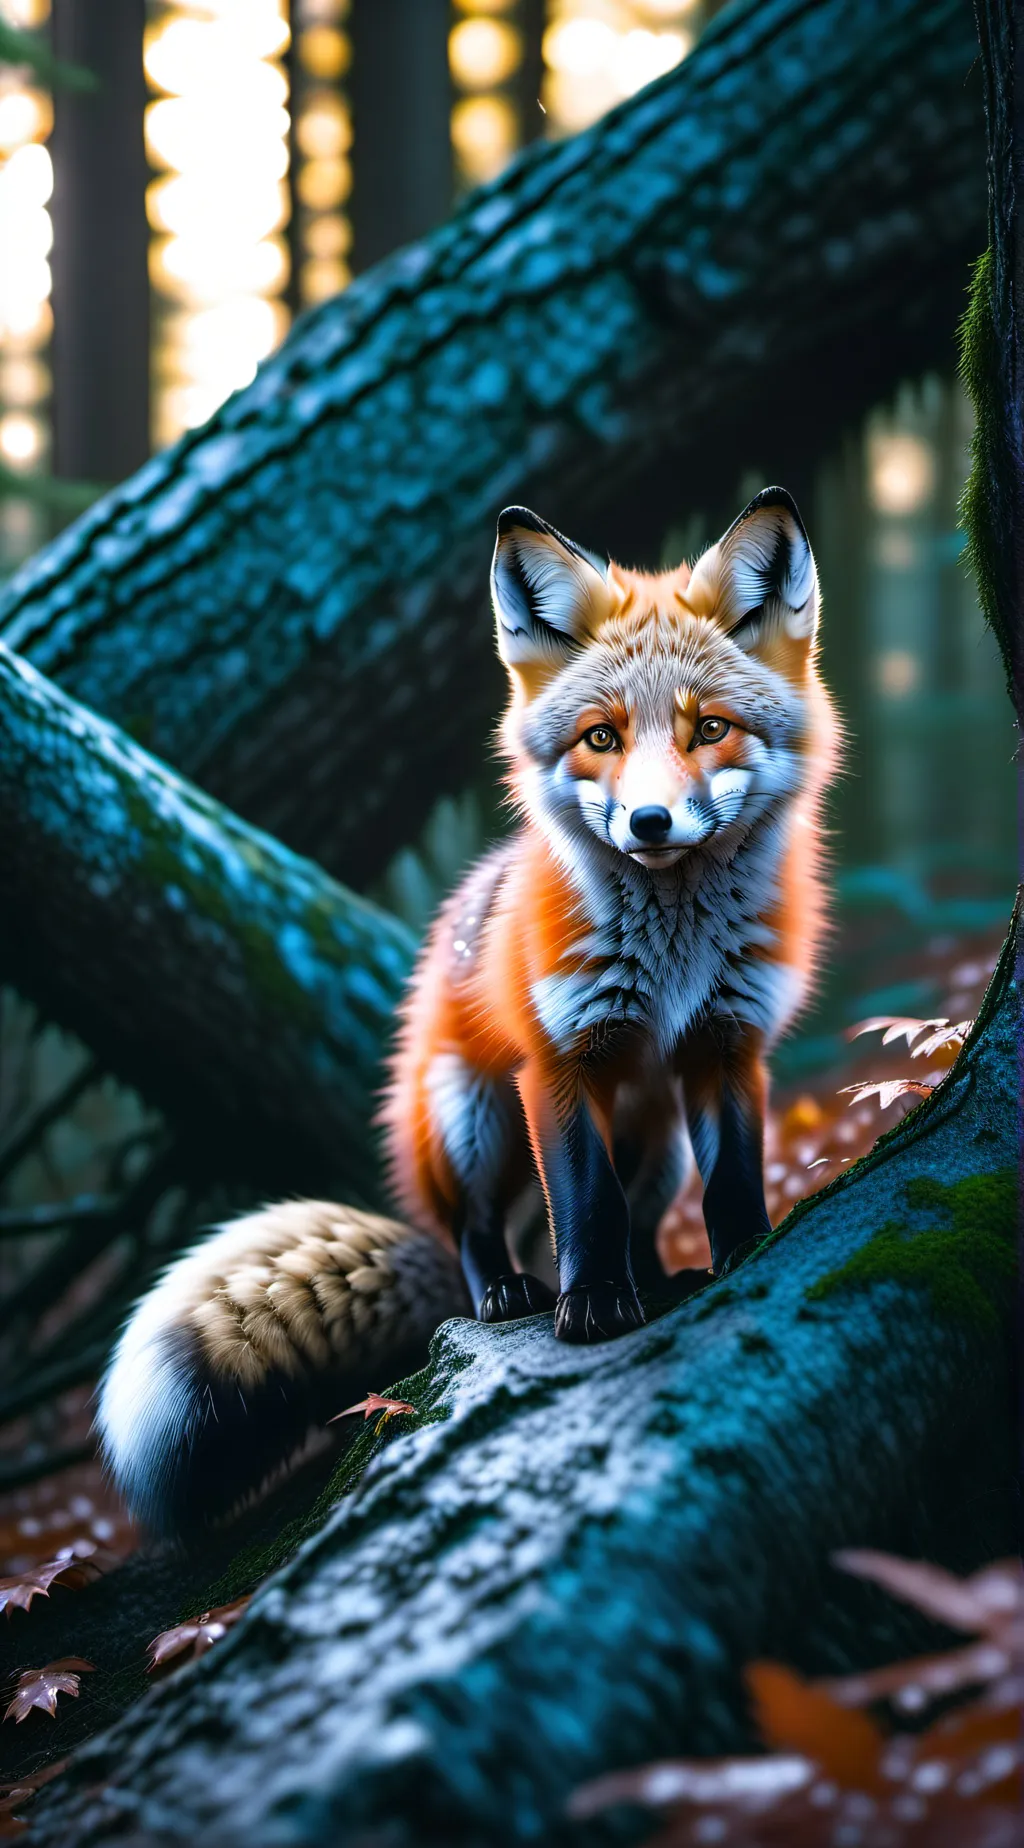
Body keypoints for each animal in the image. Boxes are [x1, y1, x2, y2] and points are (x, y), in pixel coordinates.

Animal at [98, 487, 839, 1534]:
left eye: (711, 730)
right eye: (602, 738)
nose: (650, 823)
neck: (674, 956)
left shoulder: (727, 1045)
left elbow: (730, 1175)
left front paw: (742, 1253)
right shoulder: (560, 1061)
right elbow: (586, 1204)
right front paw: (591, 1307)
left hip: (650, 1135)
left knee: (642, 1213)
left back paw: (661, 1277)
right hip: (471, 1121)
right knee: (480, 1232)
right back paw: (511, 1292)